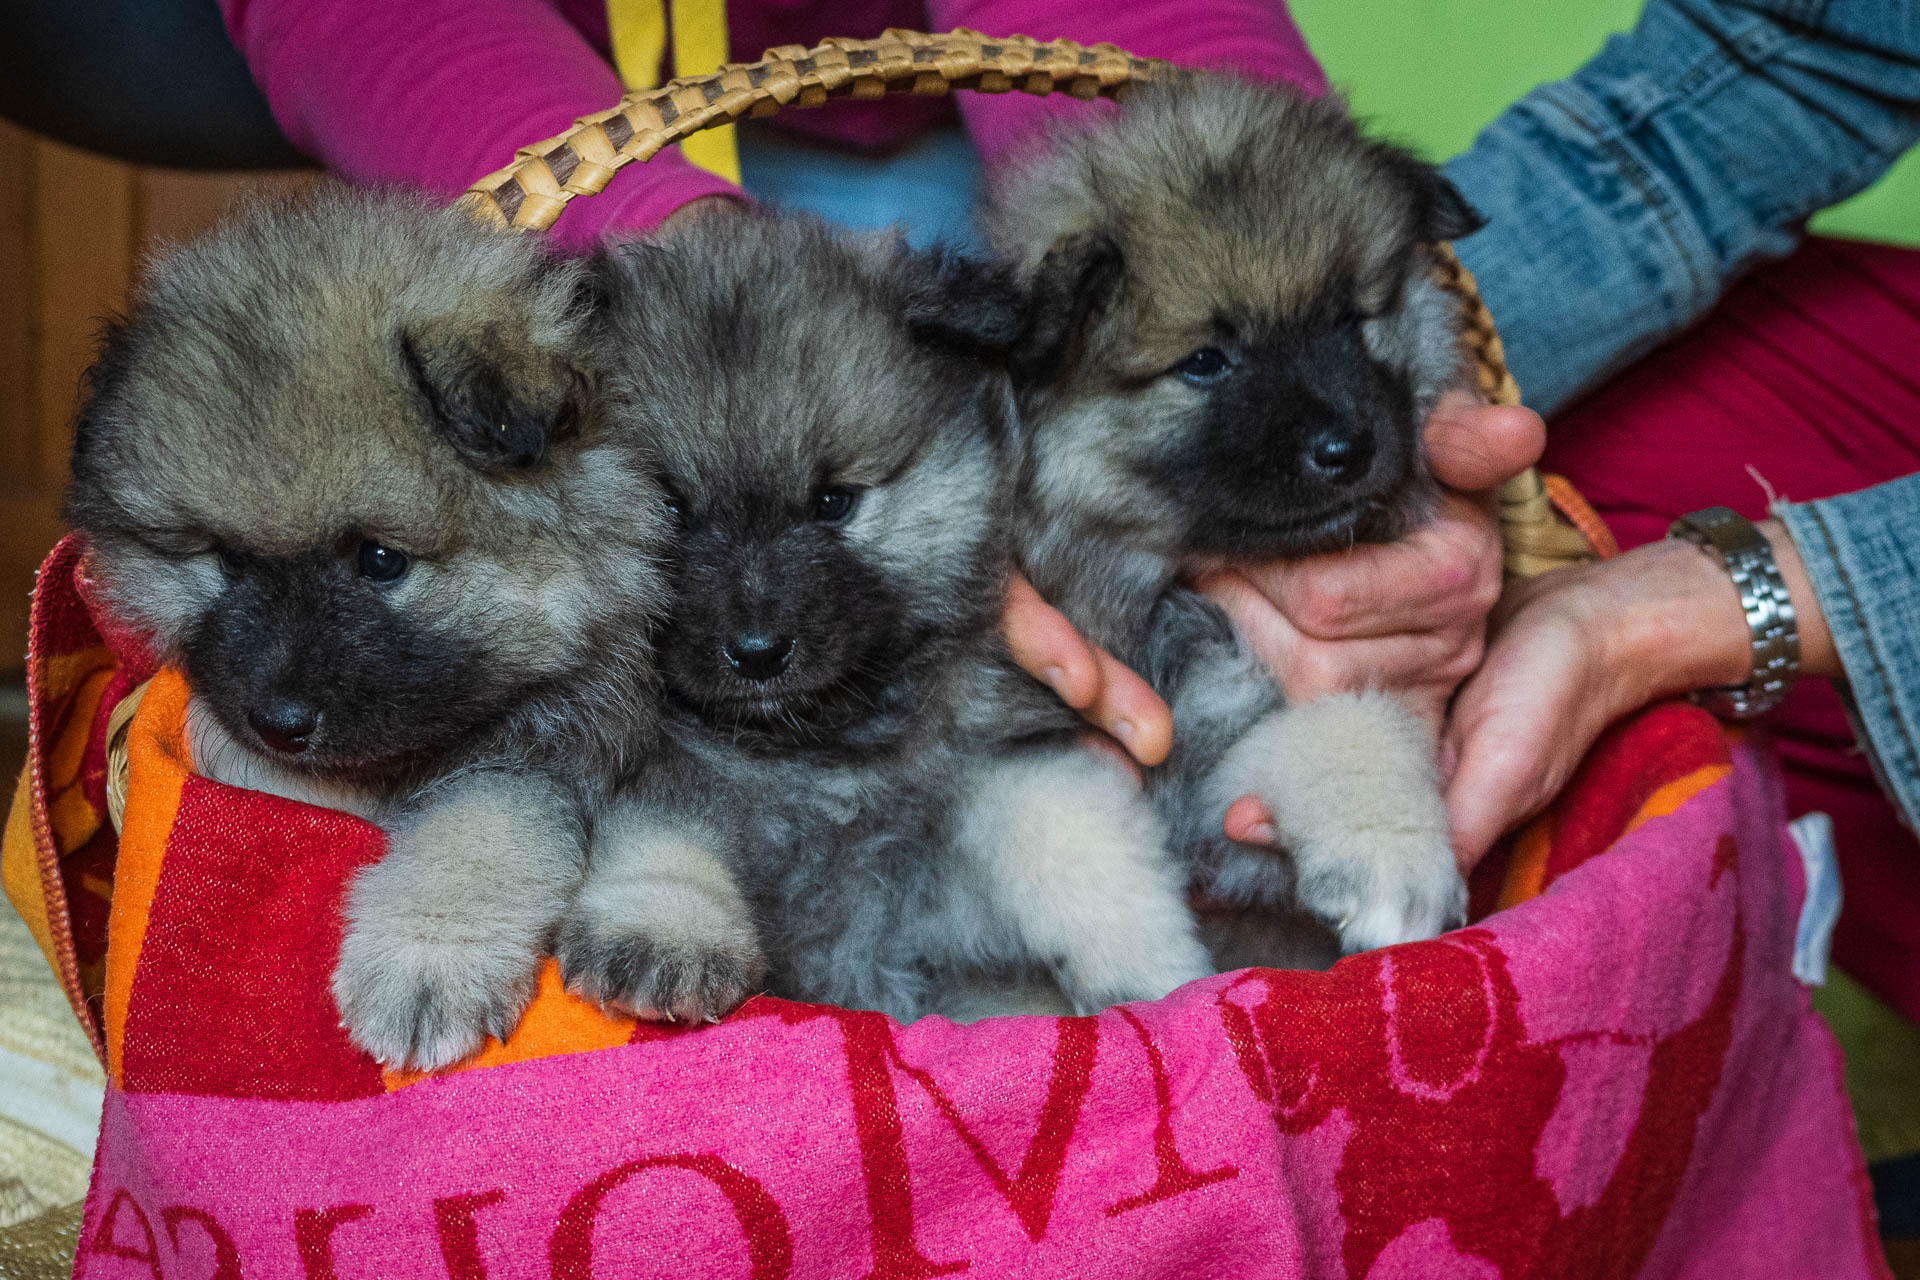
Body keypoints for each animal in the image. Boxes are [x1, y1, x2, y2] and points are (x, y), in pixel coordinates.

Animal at [65, 188, 675, 1074]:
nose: (279, 724)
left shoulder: (544, 755)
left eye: (380, 559)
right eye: (227, 560)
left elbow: (479, 830)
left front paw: (426, 959)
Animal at [560, 213, 1213, 1028]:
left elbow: (1076, 843)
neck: (829, 756)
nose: (757, 652)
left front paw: (1153, 970)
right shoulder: (652, 762)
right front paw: (665, 933)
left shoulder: (1004, 757)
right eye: (670, 511)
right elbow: (659, 829)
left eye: (834, 502)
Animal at [983, 70, 1474, 951]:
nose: (1347, 449)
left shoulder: (1224, 773)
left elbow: (1345, 722)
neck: (1174, 589)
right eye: (1206, 362)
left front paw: (1393, 849)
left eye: (1347, 320)